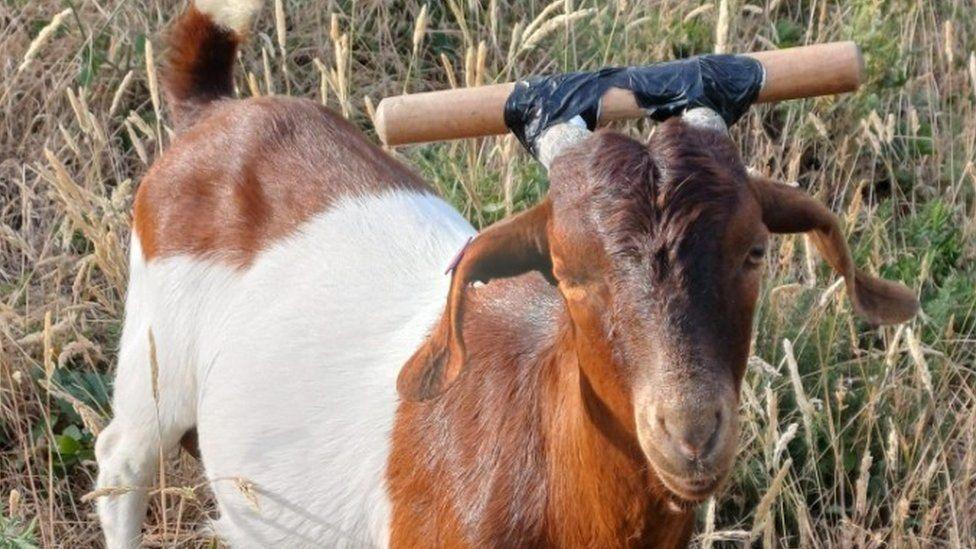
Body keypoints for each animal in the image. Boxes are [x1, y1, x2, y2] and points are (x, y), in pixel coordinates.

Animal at [95, 2, 920, 544]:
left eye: (754, 251)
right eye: (568, 271)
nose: (690, 433)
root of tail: (213, 112)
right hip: (153, 352)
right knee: (120, 459)